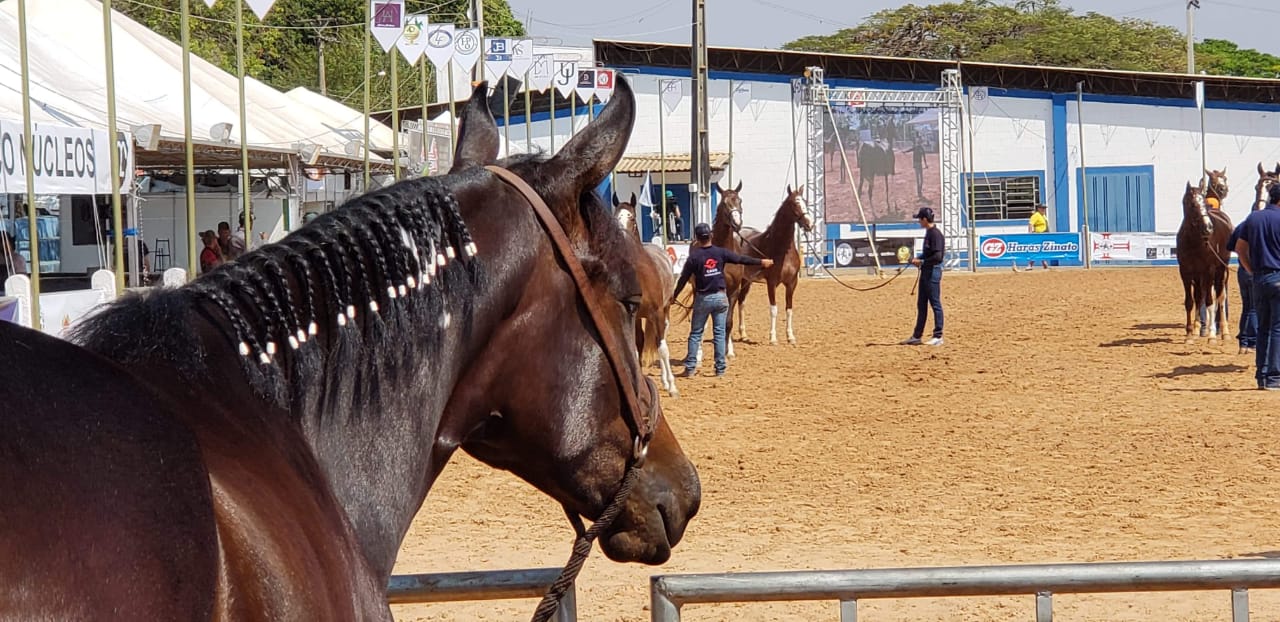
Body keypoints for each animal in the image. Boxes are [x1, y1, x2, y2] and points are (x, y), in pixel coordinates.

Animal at [611, 194, 680, 396]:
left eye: (632, 218)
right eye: (614, 218)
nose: (619, 240)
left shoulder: (657, 313)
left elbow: (662, 349)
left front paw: (672, 386)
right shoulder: (632, 316)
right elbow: (636, 349)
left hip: (665, 310)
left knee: (660, 340)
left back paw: (666, 381)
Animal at [737, 186, 814, 348]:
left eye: (805, 202)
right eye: (794, 203)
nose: (810, 224)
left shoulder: (791, 283)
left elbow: (789, 309)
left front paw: (791, 337)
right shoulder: (771, 283)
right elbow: (773, 309)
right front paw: (773, 338)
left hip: (746, 280)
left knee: (741, 302)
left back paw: (744, 335)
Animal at [1177, 179, 1228, 345]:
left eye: (1205, 203)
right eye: (1192, 204)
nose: (1208, 228)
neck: (1193, 241)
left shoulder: (1209, 270)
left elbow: (1211, 302)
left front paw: (1212, 336)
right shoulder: (1185, 272)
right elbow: (1190, 302)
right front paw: (1189, 334)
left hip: (1220, 271)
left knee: (1220, 297)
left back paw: (1224, 332)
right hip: (1199, 276)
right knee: (1200, 297)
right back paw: (1198, 329)